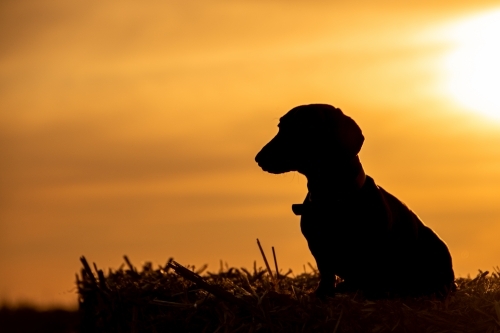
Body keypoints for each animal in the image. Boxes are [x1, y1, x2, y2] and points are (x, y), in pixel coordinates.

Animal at [256, 103, 456, 296]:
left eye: (301, 127)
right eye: (280, 127)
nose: (258, 158)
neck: (333, 197)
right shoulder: (320, 250)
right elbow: (326, 273)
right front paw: (322, 293)